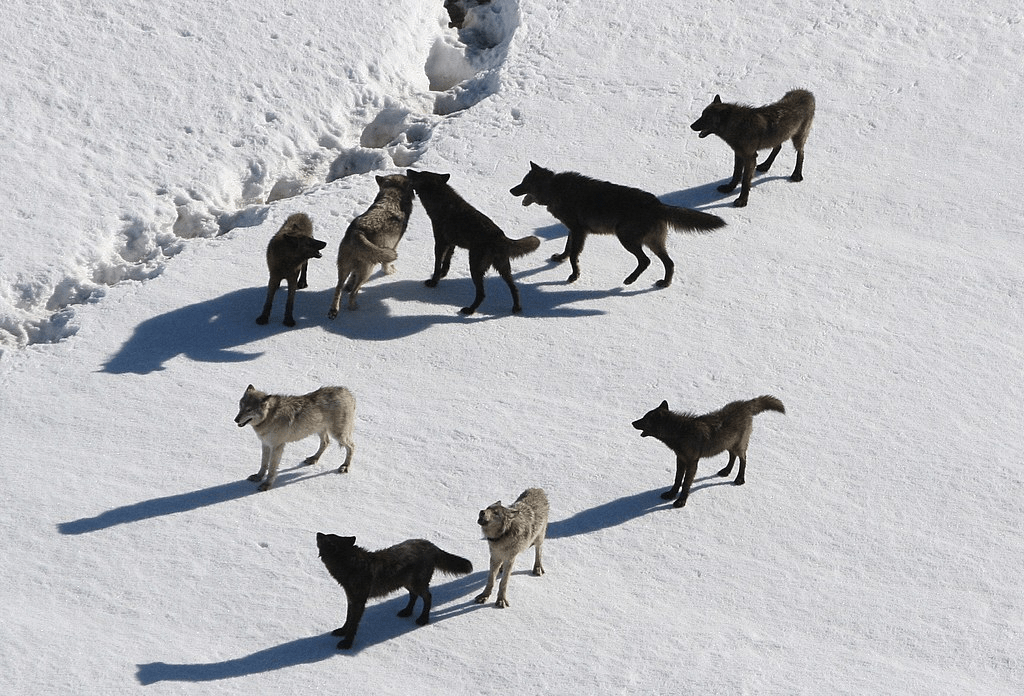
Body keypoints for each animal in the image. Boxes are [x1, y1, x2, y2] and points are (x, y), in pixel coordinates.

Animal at [316, 532, 473, 649]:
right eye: (328, 534)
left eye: (325, 538)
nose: (317, 533)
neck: (350, 565)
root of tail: (431, 545)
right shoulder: (351, 599)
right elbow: (348, 619)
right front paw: (342, 631)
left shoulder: (359, 602)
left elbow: (353, 623)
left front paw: (347, 644)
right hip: (407, 583)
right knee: (414, 596)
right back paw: (407, 612)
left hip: (416, 584)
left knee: (428, 596)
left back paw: (423, 619)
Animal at [328, 174, 414, 317]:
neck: (392, 195)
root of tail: (357, 232)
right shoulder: (393, 246)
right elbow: (386, 265)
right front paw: (389, 272)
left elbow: (352, 278)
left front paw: (349, 285)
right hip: (367, 271)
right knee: (354, 293)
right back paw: (354, 308)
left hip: (343, 268)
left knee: (338, 288)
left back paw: (334, 310)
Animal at [406, 169, 541, 315]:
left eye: (418, 174)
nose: (408, 170)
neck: (441, 202)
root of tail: (500, 236)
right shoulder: (451, 243)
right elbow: (446, 262)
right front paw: (443, 274)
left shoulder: (441, 243)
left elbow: (437, 264)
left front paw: (433, 282)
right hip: (503, 269)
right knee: (514, 288)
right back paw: (516, 308)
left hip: (475, 267)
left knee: (482, 294)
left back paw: (469, 310)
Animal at [509, 163, 725, 286]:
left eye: (524, 183)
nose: (511, 190)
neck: (555, 189)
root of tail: (657, 204)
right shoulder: (574, 230)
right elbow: (568, 249)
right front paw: (560, 259)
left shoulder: (579, 231)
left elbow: (573, 256)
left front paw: (574, 276)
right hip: (652, 242)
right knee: (669, 263)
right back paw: (664, 283)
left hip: (626, 238)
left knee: (646, 261)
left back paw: (630, 280)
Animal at [632, 396, 785, 508]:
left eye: (644, 419)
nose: (632, 422)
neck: (680, 432)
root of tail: (745, 404)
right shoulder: (680, 459)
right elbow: (677, 480)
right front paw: (671, 494)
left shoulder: (692, 462)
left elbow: (686, 483)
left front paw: (681, 502)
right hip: (728, 444)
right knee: (733, 457)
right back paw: (726, 471)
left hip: (738, 446)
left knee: (744, 459)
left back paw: (739, 479)